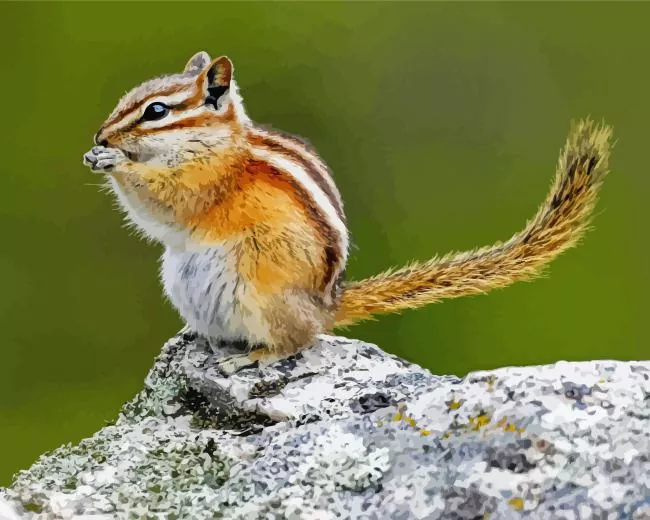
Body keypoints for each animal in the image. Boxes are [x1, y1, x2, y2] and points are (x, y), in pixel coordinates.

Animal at [83, 51, 613, 374]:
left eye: (156, 111)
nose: (100, 135)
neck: (216, 142)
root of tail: (325, 308)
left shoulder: (206, 181)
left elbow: (167, 202)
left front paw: (115, 163)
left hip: (258, 291)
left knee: (296, 341)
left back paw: (252, 358)